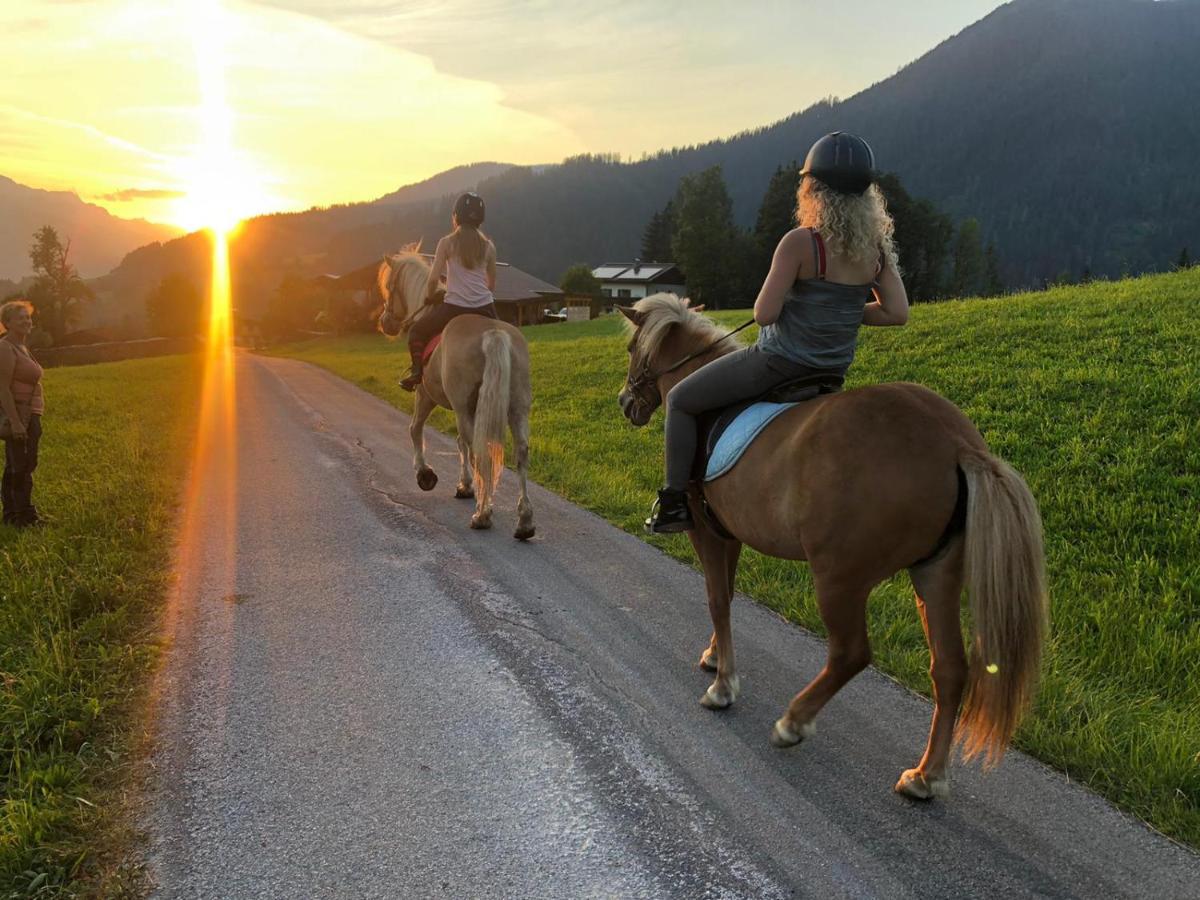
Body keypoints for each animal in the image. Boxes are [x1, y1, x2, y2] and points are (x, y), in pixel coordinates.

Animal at [374, 250, 535, 540]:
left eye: (390, 287)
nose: (385, 323)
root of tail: (494, 333)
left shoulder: (425, 395)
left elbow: (415, 429)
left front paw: (425, 474)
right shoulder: (467, 409)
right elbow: (460, 443)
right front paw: (465, 486)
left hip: (461, 407)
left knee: (479, 451)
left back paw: (482, 515)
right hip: (516, 408)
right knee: (520, 452)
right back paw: (524, 522)